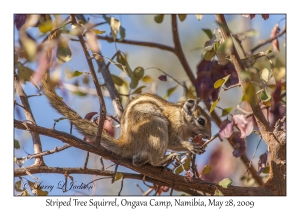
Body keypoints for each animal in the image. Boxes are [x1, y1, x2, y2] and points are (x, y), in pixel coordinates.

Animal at [41, 70, 212, 166]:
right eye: (201, 121)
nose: (209, 136)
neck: (181, 116)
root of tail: (126, 142)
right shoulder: (172, 126)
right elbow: (174, 142)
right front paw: (190, 146)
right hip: (157, 127)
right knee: (145, 161)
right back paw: (163, 160)